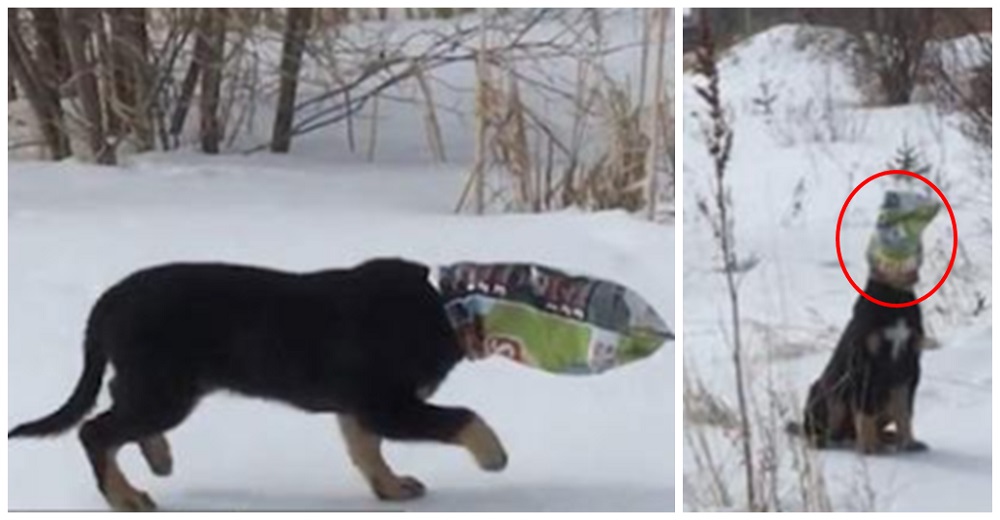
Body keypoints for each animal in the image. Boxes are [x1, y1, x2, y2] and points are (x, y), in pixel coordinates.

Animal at [7, 258, 508, 510]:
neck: (441, 308)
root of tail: (109, 299)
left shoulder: (358, 407)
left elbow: (366, 450)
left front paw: (391, 489)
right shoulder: (386, 404)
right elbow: (465, 418)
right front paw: (493, 457)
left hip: (157, 384)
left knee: (116, 410)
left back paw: (157, 457)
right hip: (166, 389)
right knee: (96, 431)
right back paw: (125, 496)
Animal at [800, 278, 924, 452]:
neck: (894, 297)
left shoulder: (910, 367)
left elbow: (905, 411)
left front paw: (909, 443)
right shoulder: (864, 366)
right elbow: (866, 413)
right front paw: (869, 447)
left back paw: (887, 437)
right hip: (829, 393)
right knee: (820, 430)